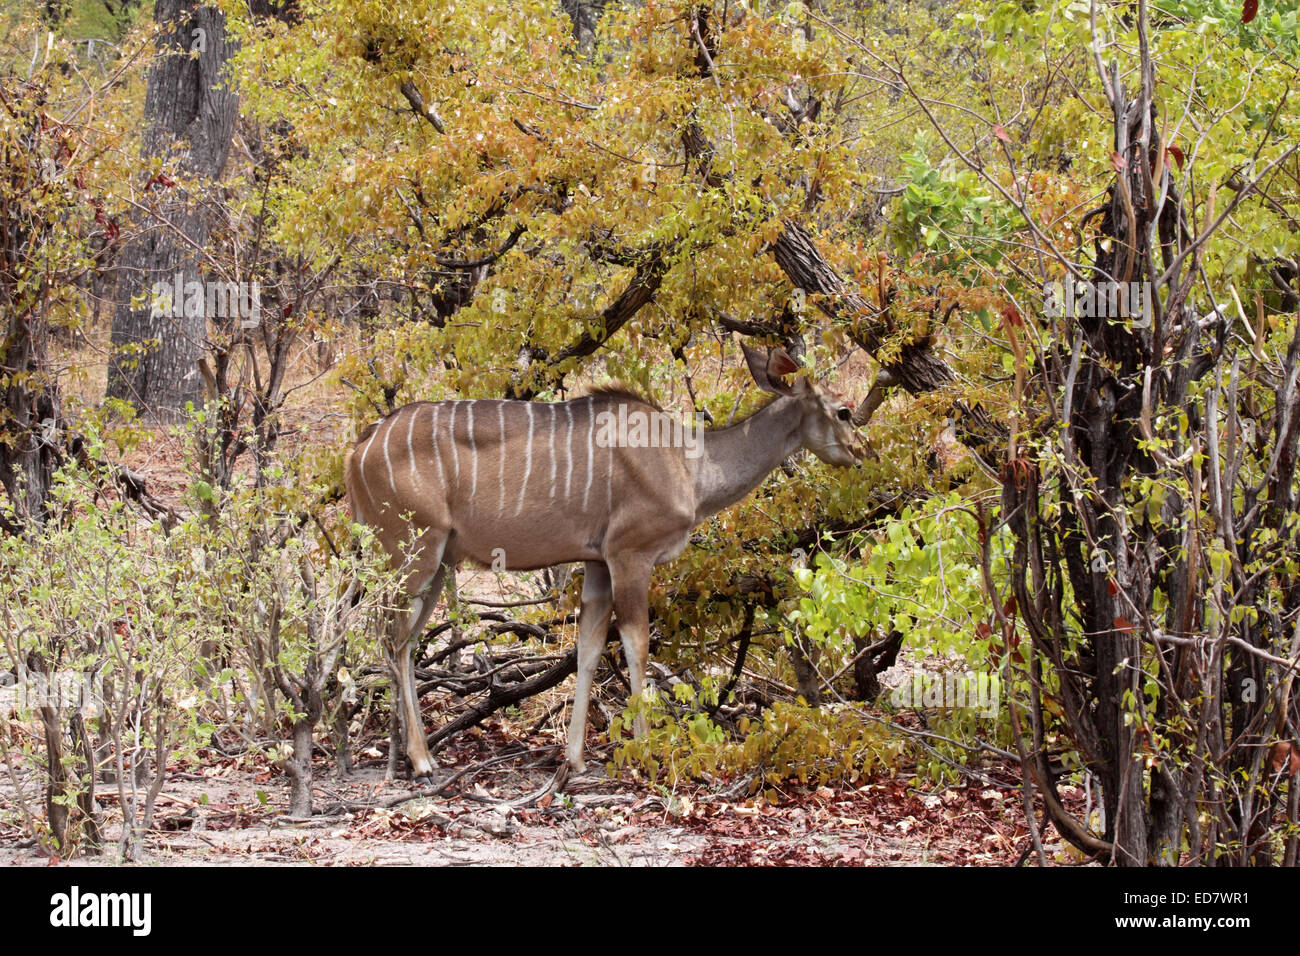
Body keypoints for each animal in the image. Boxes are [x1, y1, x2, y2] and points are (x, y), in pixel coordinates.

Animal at [340, 348, 878, 780]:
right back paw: (417, 759)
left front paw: (575, 760)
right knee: (388, 638)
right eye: (844, 411)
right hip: (411, 552)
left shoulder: (597, 564)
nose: (863, 455)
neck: (689, 465)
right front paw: (646, 747)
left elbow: (590, 647)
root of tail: (357, 449)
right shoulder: (629, 556)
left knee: (403, 640)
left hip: (435, 565)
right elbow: (637, 643)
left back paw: (418, 754)